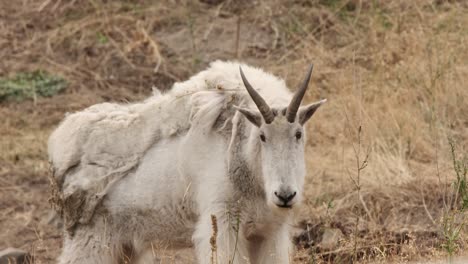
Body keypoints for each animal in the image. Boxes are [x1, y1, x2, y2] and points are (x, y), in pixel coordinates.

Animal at [48, 60, 326, 262]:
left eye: (298, 134)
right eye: (262, 136)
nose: (285, 195)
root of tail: (59, 144)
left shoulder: (268, 232)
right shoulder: (222, 223)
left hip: (126, 244)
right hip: (90, 239)